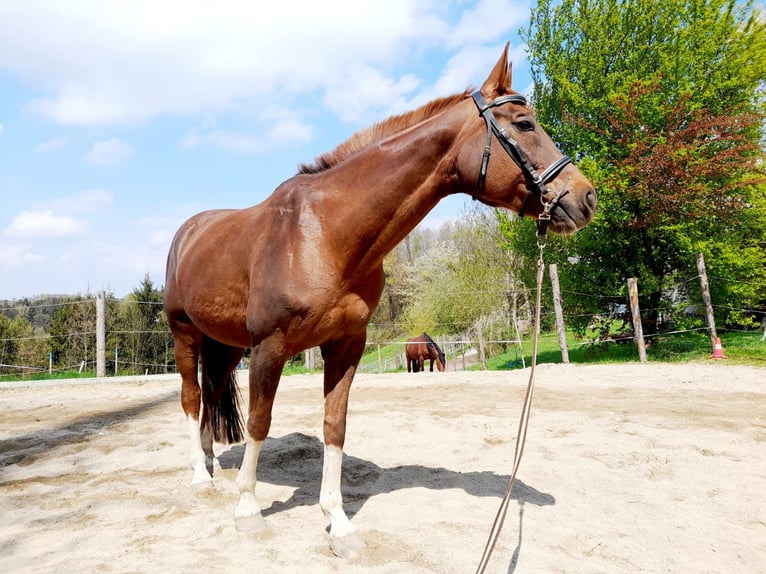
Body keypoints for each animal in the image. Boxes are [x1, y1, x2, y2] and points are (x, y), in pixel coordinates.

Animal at [164, 42, 600, 560]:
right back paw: (199, 476)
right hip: (186, 336)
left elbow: (334, 427)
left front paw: (338, 524)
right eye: (525, 124)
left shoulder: (346, 346)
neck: (323, 234)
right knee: (191, 399)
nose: (586, 198)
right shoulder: (270, 347)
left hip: (226, 346)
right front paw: (248, 508)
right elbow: (259, 422)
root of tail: (188, 232)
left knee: (210, 399)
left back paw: (210, 463)